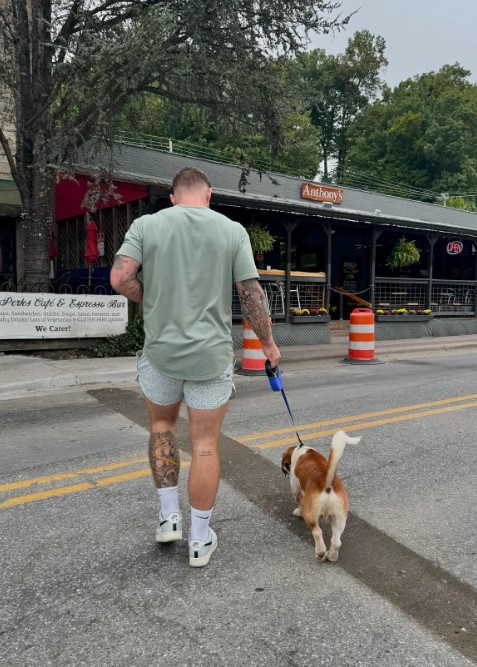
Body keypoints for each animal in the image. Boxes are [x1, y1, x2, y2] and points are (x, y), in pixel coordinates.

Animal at [280, 430, 358, 560]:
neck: (302, 450)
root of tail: (326, 482)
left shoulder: (296, 490)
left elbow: (299, 502)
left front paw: (298, 512)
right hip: (339, 518)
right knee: (336, 541)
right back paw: (331, 556)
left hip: (311, 514)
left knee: (317, 532)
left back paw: (320, 551)